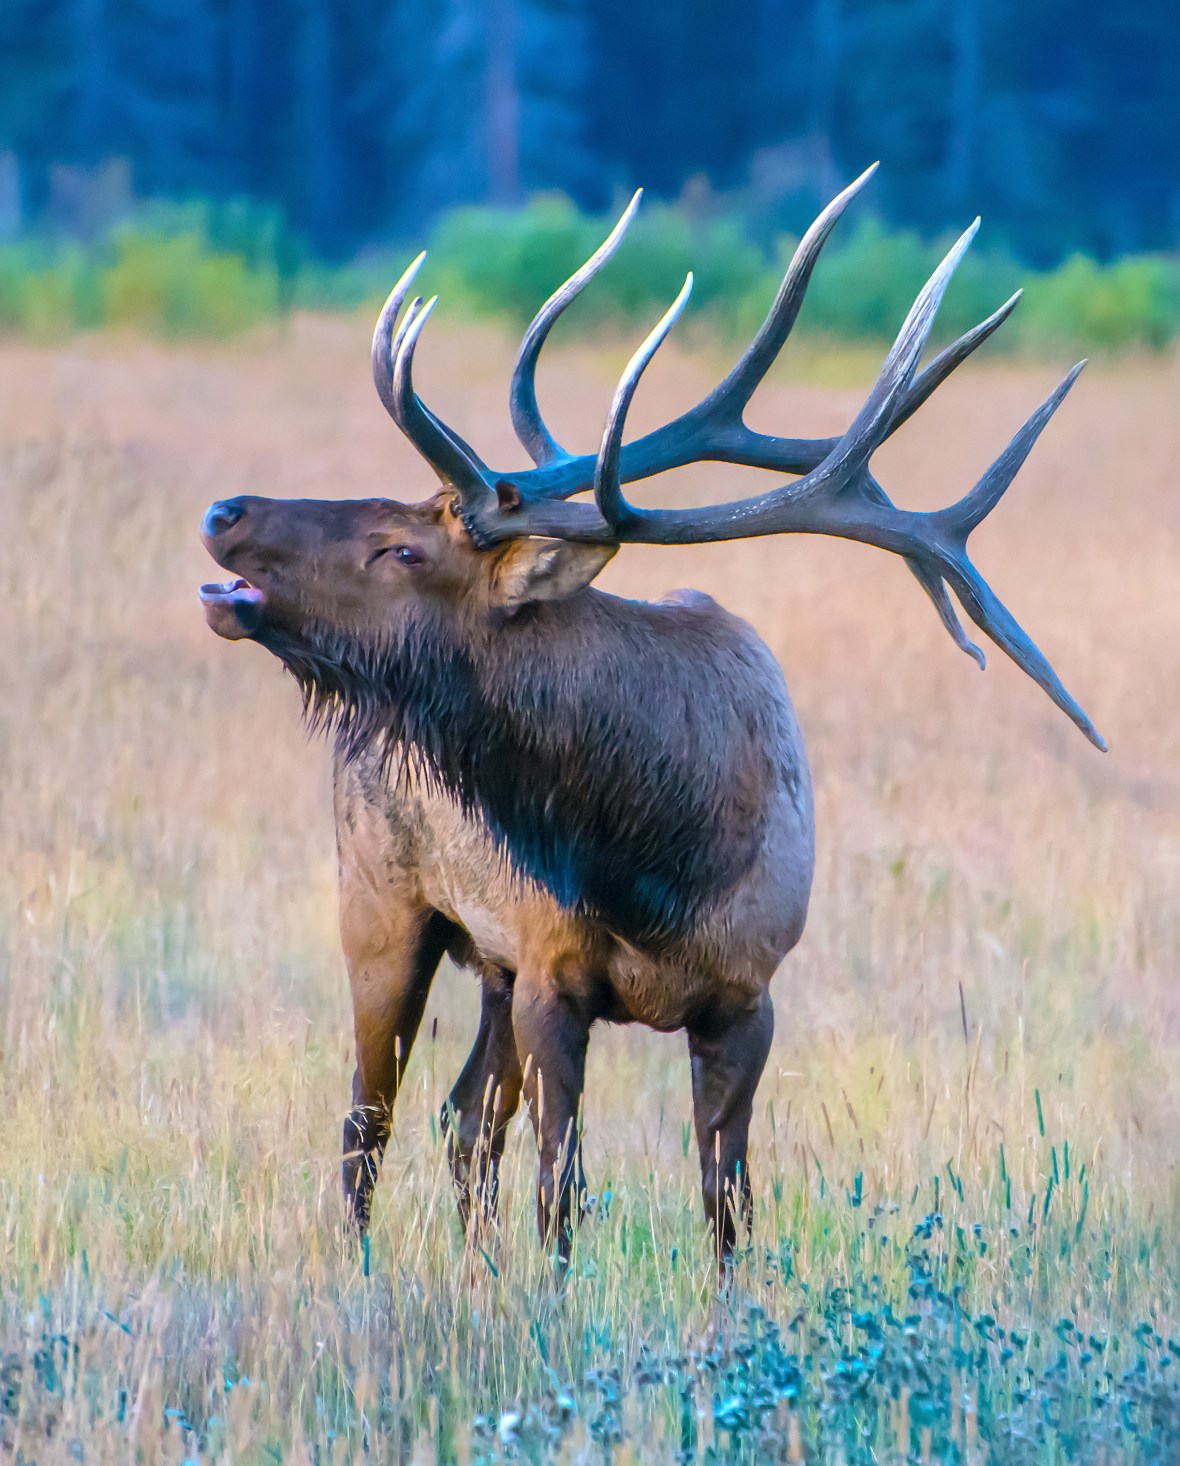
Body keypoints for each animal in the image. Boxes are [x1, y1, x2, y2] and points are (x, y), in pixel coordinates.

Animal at [199, 165, 1104, 1275]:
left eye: (404, 548)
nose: (226, 512)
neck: (654, 854)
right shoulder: (553, 974)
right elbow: (562, 1191)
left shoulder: (747, 995)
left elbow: (726, 1201)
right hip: (383, 905)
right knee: (369, 1123)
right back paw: (363, 1273)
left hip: (483, 960)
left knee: (459, 1121)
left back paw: (468, 1268)